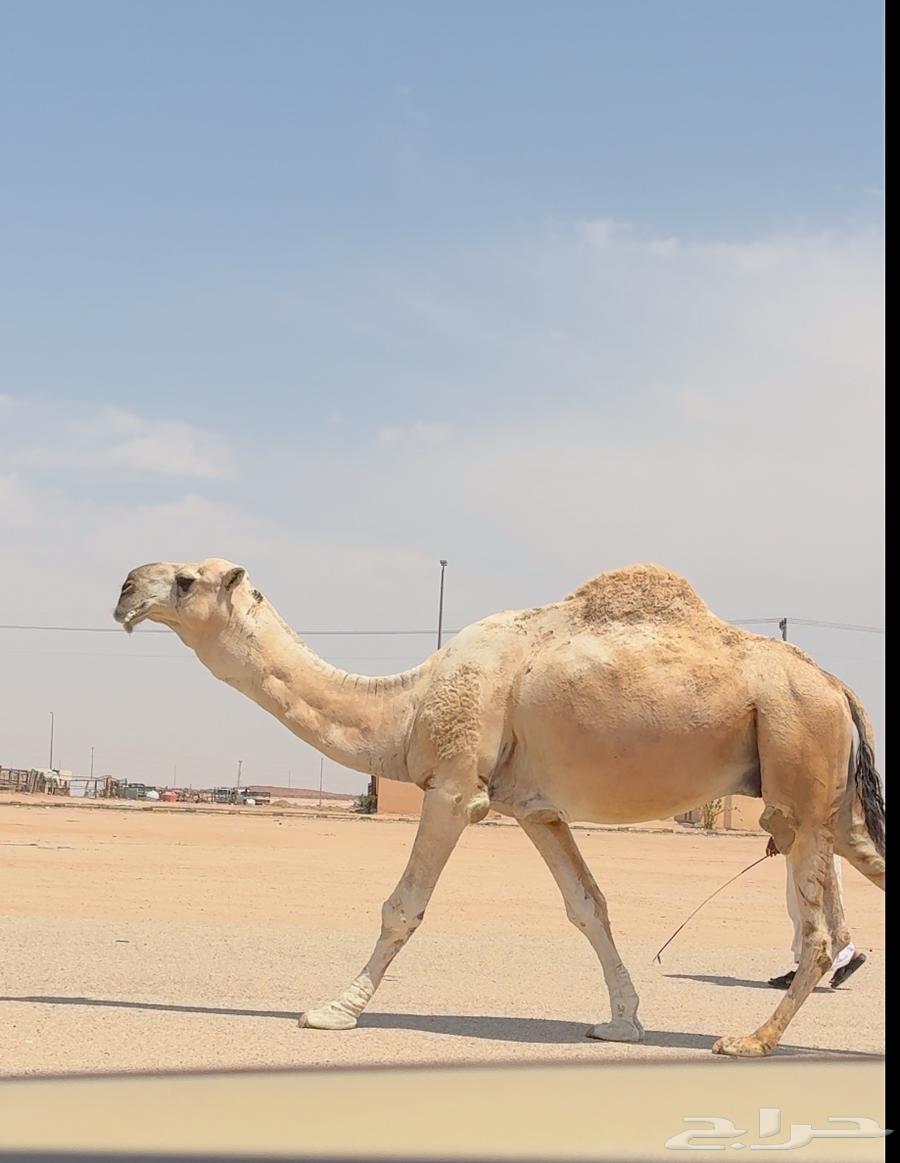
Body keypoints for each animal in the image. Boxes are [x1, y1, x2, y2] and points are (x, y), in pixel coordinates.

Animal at [113, 558, 885, 1057]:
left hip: (796, 774)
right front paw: (622, 1022)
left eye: (185, 579)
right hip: (835, 805)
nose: (123, 588)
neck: (408, 704)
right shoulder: (533, 807)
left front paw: (334, 1009)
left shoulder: (455, 787)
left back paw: (752, 1039)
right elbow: (589, 905)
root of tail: (839, 686)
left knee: (816, 930)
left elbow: (402, 906)